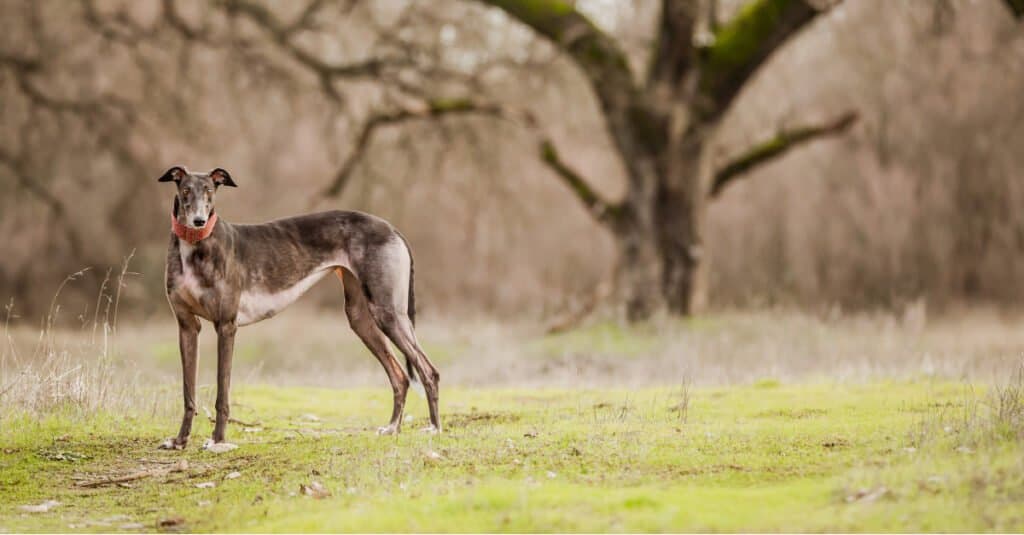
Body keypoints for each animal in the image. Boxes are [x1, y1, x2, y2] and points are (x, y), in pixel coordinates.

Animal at [157, 163, 438, 446]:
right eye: (185, 190)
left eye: (209, 190)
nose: (199, 222)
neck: (196, 245)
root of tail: (392, 229)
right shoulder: (187, 326)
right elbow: (188, 392)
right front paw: (180, 440)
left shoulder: (226, 325)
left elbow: (222, 393)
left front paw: (218, 440)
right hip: (361, 318)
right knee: (400, 376)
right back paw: (392, 428)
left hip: (387, 312)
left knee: (428, 371)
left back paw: (434, 428)